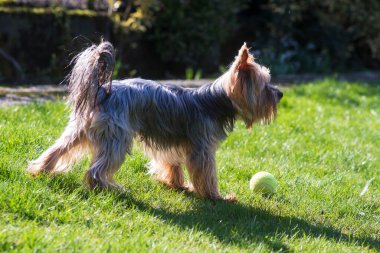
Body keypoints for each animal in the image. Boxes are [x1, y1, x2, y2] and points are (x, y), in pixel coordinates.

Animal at [27, 41, 282, 201]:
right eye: (265, 86)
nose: (280, 94)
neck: (217, 100)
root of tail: (101, 91)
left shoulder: (173, 144)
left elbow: (172, 164)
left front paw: (177, 184)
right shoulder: (202, 147)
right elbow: (206, 173)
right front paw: (217, 197)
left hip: (79, 128)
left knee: (58, 149)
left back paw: (39, 170)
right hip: (117, 136)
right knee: (97, 169)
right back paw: (109, 188)